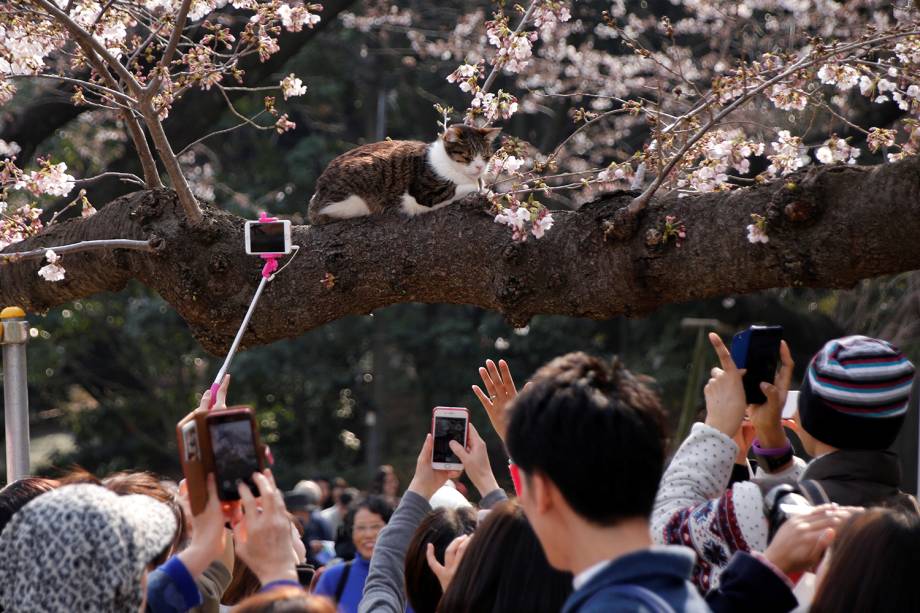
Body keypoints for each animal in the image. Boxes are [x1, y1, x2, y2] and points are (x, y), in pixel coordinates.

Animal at [310, 123, 500, 224]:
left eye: (486, 156)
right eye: (468, 156)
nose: (479, 167)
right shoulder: (426, 193)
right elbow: (458, 189)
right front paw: (481, 189)